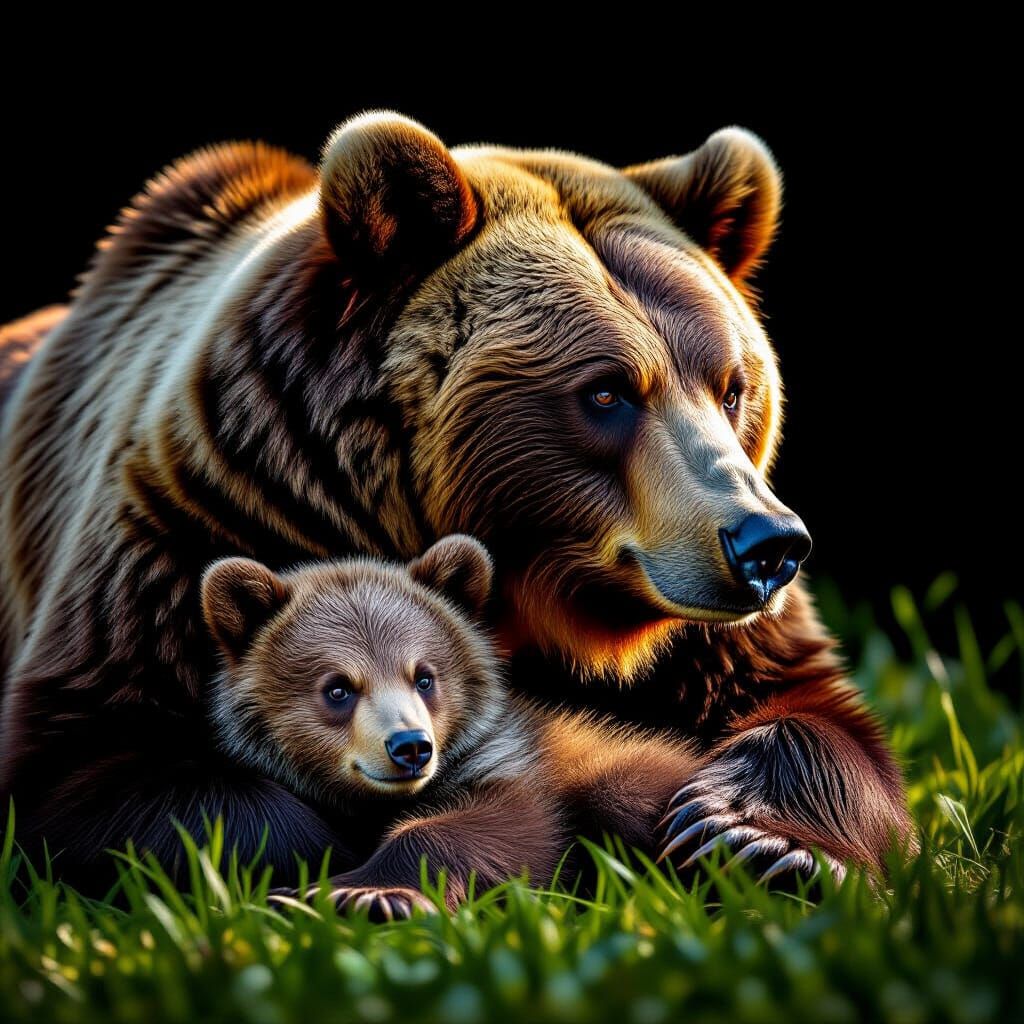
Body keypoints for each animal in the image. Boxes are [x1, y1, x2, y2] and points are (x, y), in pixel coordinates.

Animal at [200, 533, 703, 917]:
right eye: (338, 688)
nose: (410, 746)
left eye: (424, 676)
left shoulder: (507, 759)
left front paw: (363, 893)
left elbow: (507, 822)